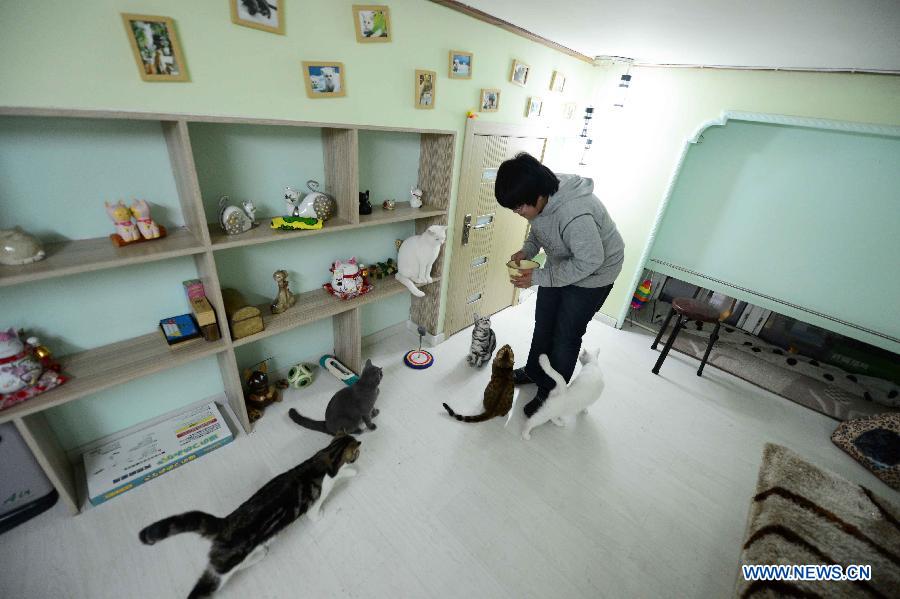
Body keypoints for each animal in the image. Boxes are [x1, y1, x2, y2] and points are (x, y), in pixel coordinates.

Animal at [136, 434, 358, 596]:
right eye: (356, 451)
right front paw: (350, 474)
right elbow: (320, 506)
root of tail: (225, 523)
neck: (325, 457)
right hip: (224, 567)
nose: (360, 448)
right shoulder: (316, 501)